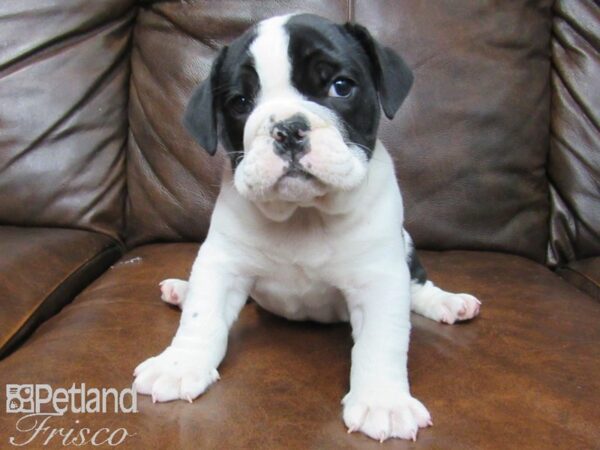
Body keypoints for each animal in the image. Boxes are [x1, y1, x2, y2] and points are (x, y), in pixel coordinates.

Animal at [134, 14, 480, 442]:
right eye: (240, 103)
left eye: (340, 86)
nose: (287, 129)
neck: (303, 213)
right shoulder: (223, 264)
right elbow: (203, 317)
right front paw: (180, 364)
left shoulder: (379, 278)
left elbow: (381, 341)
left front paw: (383, 401)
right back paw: (182, 290)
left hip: (407, 247)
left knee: (416, 284)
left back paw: (446, 301)